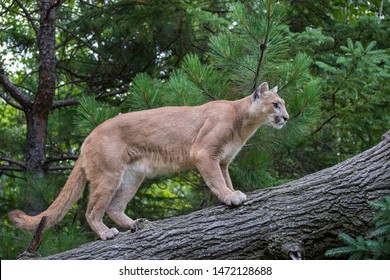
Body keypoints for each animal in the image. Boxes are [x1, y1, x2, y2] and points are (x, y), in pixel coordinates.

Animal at [8, 82, 290, 240]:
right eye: (276, 104)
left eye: (283, 104)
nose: (287, 117)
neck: (244, 123)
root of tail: (88, 136)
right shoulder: (204, 153)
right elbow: (217, 182)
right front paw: (230, 198)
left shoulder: (222, 161)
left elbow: (226, 179)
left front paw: (234, 193)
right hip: (109, 174)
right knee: (92, 210)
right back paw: (106, 233)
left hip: (132, 177)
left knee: (114, 207)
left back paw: (135, 224)